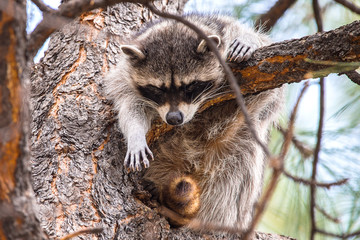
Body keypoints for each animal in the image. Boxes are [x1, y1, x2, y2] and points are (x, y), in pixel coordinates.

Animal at [104, 14, 284, 232]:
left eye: (190, 86)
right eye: (158, 90)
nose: (174, 118)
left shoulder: (228, 31)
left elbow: (270, 92)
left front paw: (247, 39)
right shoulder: (124, 77)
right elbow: (130, 107)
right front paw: (135, 135)